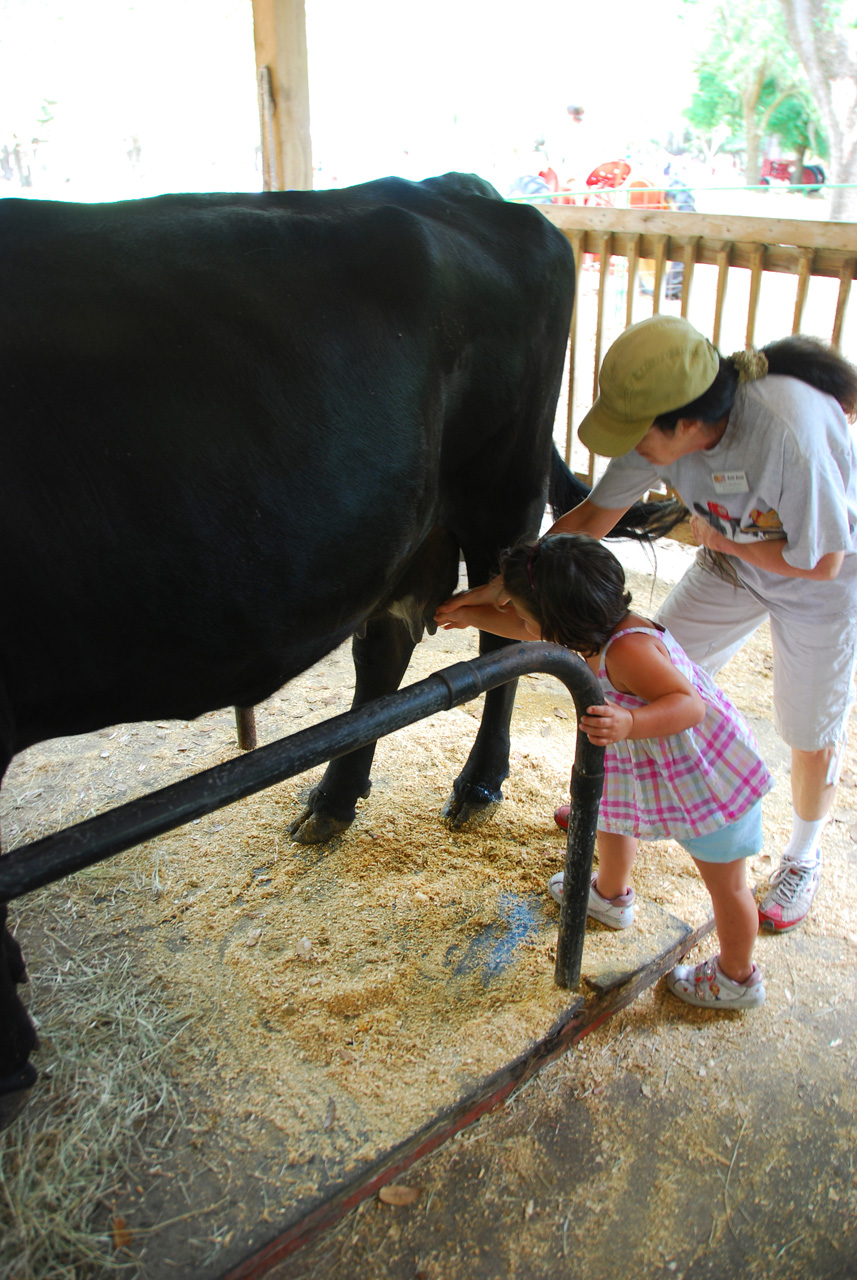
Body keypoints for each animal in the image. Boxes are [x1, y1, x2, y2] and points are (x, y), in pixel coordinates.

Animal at [1, 172, 685, 1121]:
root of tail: (460, 187)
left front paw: (8, 1050)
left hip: (500, 495)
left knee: (498, 643)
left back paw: (475, 783)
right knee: (387, 646)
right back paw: (333, 796)